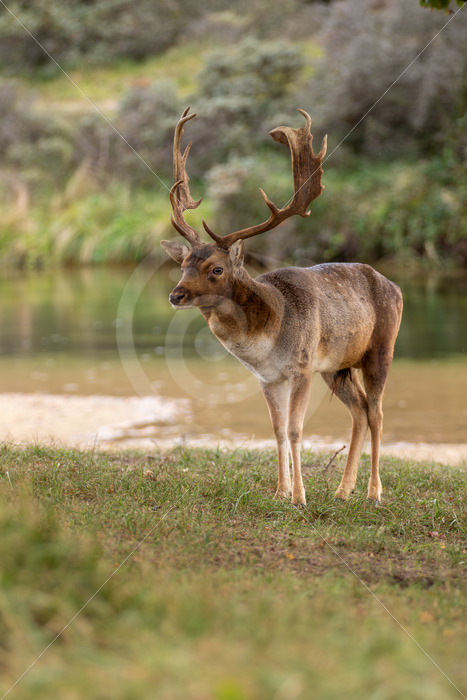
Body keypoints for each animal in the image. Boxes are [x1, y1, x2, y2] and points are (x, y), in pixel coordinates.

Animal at [161, 107, 403, 506]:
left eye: (216, 269)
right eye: (183, 265)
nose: (175, 295)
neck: (265, 338)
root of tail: (396, 286)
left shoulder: (301, 367)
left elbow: (295, 429)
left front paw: (299, 498)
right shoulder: (267, 377)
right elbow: (275, 429)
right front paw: (279, 491)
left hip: (381, 348)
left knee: (378, 412)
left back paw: (373, 492)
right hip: (336, 365)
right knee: (360, 411)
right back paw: (342, 490)